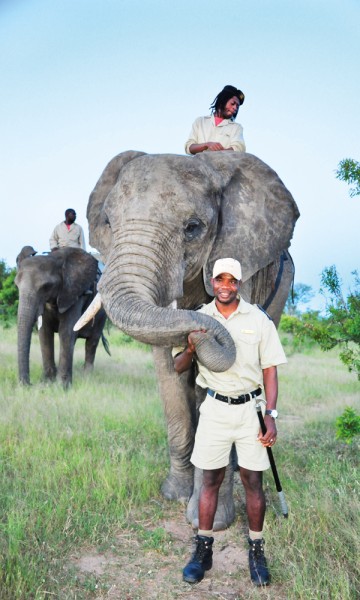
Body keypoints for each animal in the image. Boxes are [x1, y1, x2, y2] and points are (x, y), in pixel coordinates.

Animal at [14, 246, 109, 386]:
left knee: (92, 342)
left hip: (101, 313)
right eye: (16, 285)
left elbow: (66, 331)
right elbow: (44, 332)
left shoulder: (75, 293)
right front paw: (47, 382)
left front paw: (61, 386)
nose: (28, 384)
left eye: (46, 286)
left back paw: (87, 377)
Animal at [83, 150, 300, 528]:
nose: (203, 330)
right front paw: (174, 493)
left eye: (193, 228)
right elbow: (168, 377)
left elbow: (209, 392)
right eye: (107, 222)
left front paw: (210, 519)